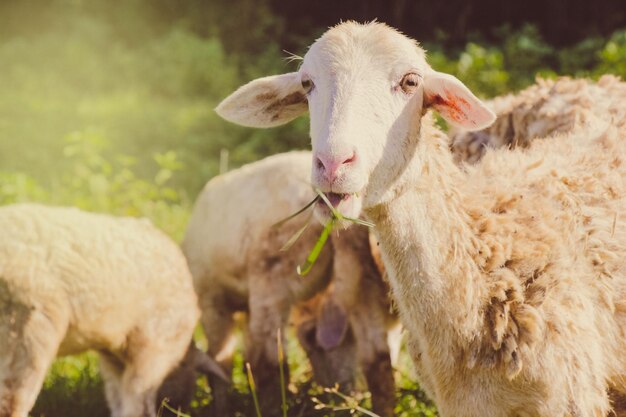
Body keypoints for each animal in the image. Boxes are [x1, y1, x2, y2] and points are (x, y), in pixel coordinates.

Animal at [0, 204, 200, 416]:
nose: (180, 408)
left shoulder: (117, 353)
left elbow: (119, 400)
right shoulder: (154, 344)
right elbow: (138, 403)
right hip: (27, 325)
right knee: (12, 401)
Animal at [178, 150, 394, 416]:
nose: (338, 393)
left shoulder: (211, 300)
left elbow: (221, 362)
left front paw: (222, 408)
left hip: (272, 276)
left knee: (271, 362)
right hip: (362, 276)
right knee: (378, 358)